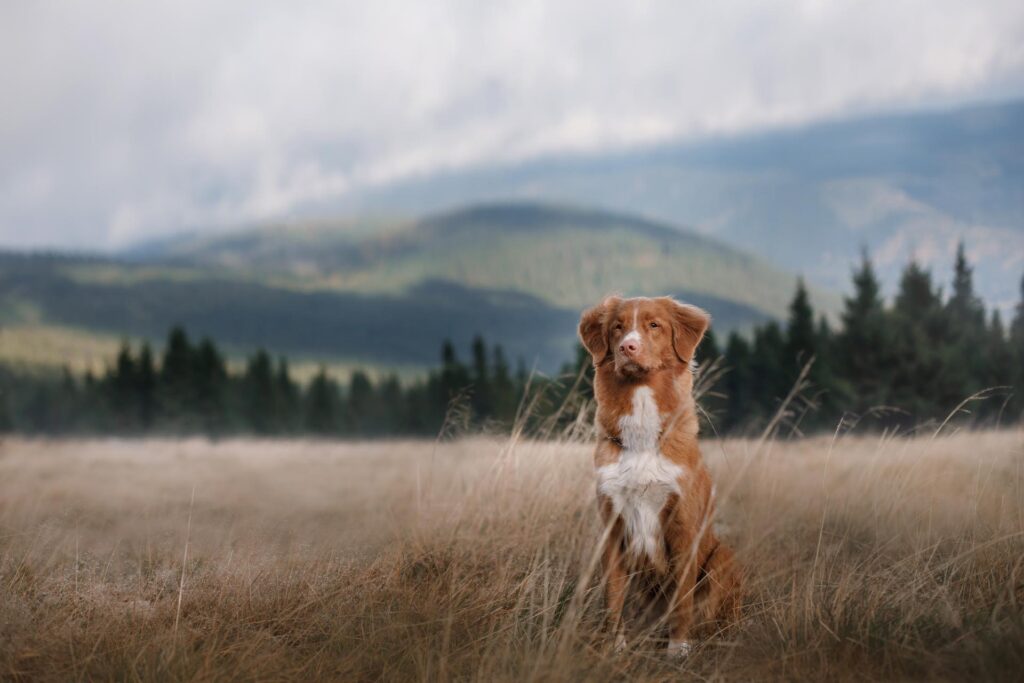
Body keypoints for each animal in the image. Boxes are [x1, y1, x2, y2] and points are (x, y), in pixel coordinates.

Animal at [581, 296, 741, 655]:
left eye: (654, 325)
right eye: (617, 327)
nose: (628, 347)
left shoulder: (682, 526)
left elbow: (682, 599)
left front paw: (678, 647)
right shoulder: (613, 528)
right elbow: (614, 596)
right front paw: (616, 645)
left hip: (722, 556)